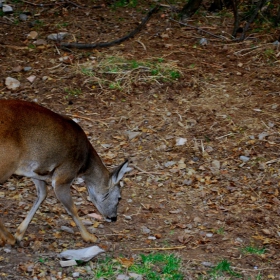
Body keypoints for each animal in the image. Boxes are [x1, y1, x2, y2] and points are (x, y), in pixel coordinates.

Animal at [0, 99, 131, 246]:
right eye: (119, 197)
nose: (113, 218)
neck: (84, 164)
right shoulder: (64, 176)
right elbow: (72, 208)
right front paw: (89, 237)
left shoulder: (36, 172)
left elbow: (43, 194)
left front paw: (19, 233)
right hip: (6, 162)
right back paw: (8, 238)